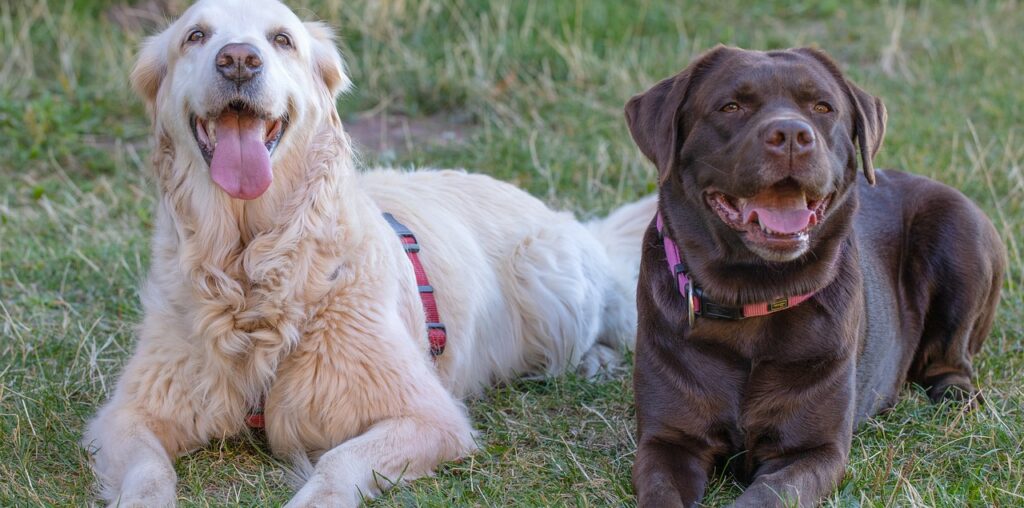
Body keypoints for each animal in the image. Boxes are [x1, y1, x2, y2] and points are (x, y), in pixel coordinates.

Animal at [83, 1, 651, 505]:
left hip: (551, 279)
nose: (239, 60)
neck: (253, 271)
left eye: (281, 39)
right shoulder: (126, 414)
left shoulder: (429, 415)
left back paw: (595, 360)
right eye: (195, 36)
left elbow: (338, 462)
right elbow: (148, 474)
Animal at [626, 44, 1003, 508]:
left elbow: (767, 496)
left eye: (823, 107)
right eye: (731, 106)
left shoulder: (813, 451)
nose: (791, 134)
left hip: (961, 229)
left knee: (952, 359)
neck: (755, 293)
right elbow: (663, 489)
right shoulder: (667, 442)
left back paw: (957, 398)